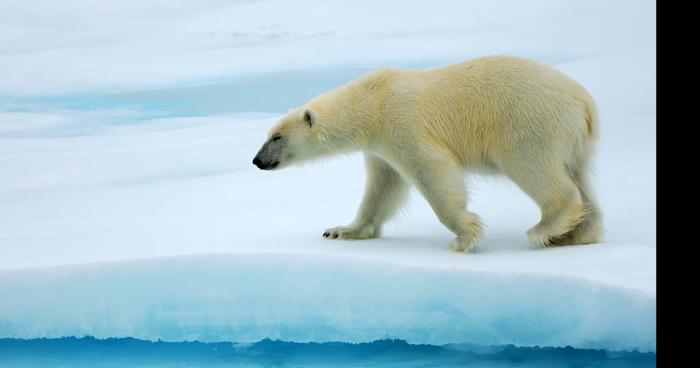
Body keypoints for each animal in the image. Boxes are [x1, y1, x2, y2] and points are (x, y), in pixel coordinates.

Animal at [254, 55, 604, 253]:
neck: (372, 101)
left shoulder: (402, 123)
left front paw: (464, 235)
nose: (257, 161)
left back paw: (544, 229)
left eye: (276, 136)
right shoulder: (380, 147)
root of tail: (583, 100)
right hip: (575, 140)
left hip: (529, 123)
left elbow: (432, 170)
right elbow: (383, 187)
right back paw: (576, 234)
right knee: (580, 177)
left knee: (536, 169)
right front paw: (341, 230)